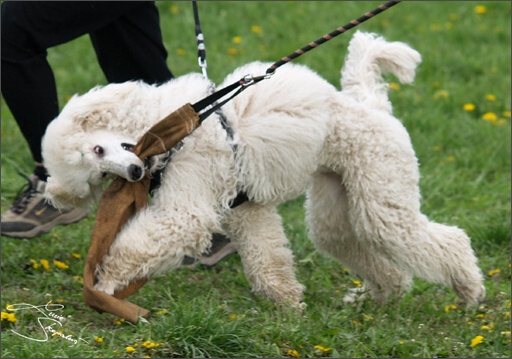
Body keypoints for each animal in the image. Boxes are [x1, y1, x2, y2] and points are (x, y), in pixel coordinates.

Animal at [41, 33, 484, 310]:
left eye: (98, 148)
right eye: (97, 176)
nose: (134, 174)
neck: (170, 124)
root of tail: (371, 106)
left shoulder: (190, 207)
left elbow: (145, 242)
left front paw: (105, 281)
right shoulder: (245, 210)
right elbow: (267, 260)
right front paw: (290, 304)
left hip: (382, 196)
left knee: (447, 240)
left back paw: (470, 292)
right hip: (336, 206)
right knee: (362, 251)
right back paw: (380, 299)